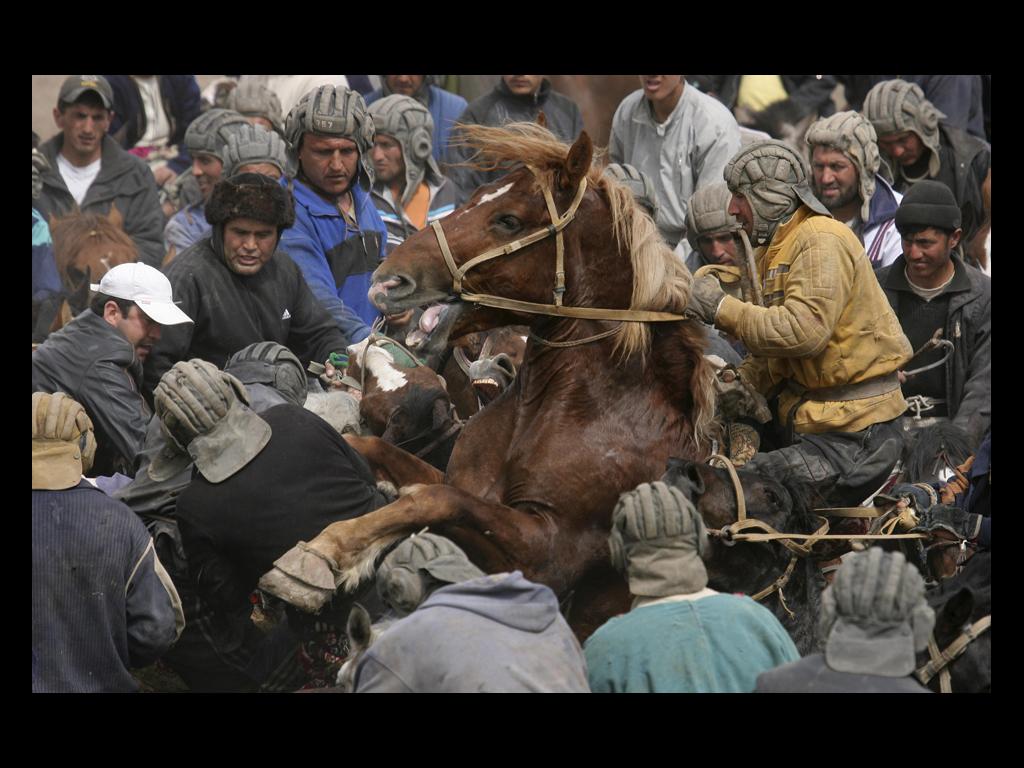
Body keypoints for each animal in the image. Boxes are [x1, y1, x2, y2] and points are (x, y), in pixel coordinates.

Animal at [260, 123, 716, 638]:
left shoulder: (547, 554)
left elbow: (434, 500)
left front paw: (328, 550)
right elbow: (384, 455)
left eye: (509, 220)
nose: (387, 281)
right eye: (474, 196)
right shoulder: (458, 477)